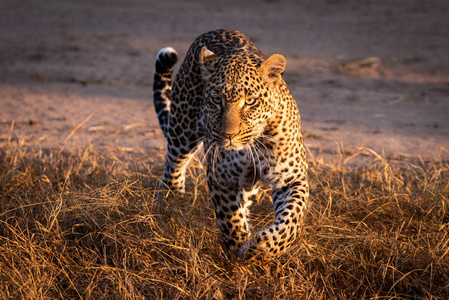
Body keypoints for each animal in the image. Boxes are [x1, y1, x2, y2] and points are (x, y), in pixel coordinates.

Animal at [153, 29, 308, 262]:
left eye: (250, 101)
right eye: (217, 100)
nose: (229, 135)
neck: (256, 143)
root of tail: (215, 31)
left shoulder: (292, 178)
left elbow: (290, 222)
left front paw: (261, 247)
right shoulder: (221, 178)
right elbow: (230, 218)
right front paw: (238, 248)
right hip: (182, 129)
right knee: (173, 167)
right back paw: (171, 205)